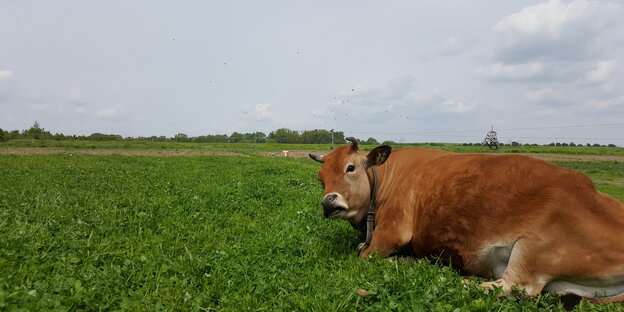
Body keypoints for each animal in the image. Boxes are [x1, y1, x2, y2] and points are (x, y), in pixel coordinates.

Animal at [310, 138, 624, 302]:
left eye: (351, 168)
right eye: (321, 177)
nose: (329, 202)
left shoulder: (392, 230)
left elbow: (363, 255)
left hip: (534, 249)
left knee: (514, 286)